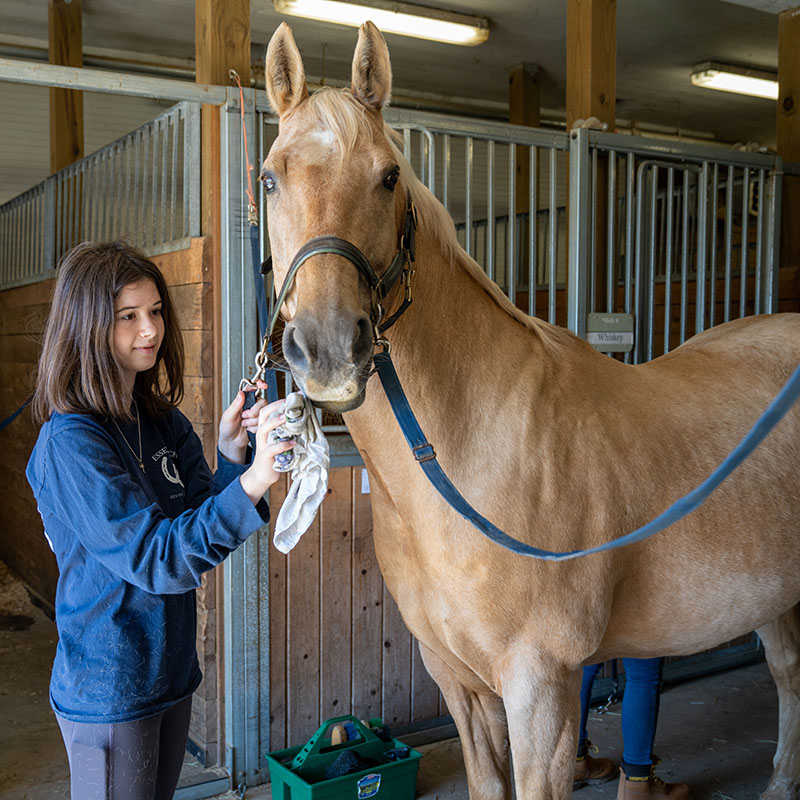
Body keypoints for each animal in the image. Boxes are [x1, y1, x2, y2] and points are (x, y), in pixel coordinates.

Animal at [260, 20, 796, 800]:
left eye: (388, 177)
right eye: (270, 178)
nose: (328, 347)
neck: (465, 460)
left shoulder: (540, 686)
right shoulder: (458, 683)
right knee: (789, 671)